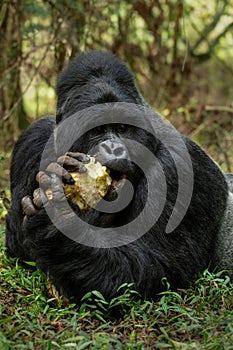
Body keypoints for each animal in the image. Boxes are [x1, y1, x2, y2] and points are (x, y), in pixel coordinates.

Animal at [5, 50, 233, 302]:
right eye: (97, 130)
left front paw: (58, 219)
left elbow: (156, 266)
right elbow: (17, 248)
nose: (113, 148)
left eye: (123, 128)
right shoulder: (32, 139)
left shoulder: (180, 166)